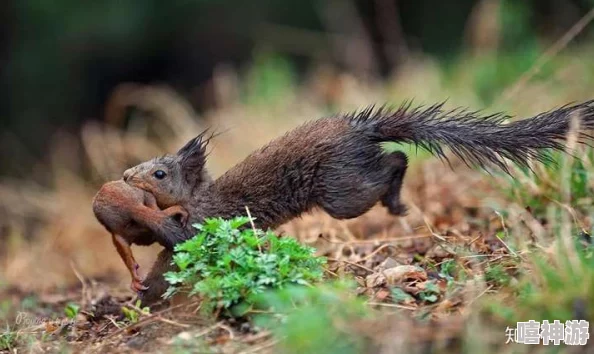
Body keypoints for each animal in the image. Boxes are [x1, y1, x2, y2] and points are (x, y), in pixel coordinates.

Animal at [117, 100, 592, 304]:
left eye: (159, 174)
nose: (123, 177)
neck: (196, 197)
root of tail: (361, 130)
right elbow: (164, 262)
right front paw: (140, 290)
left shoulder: (202, 223)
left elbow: (171, 243)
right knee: (393, 158)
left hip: (341, 192)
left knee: (396, 160)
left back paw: (397, 203)